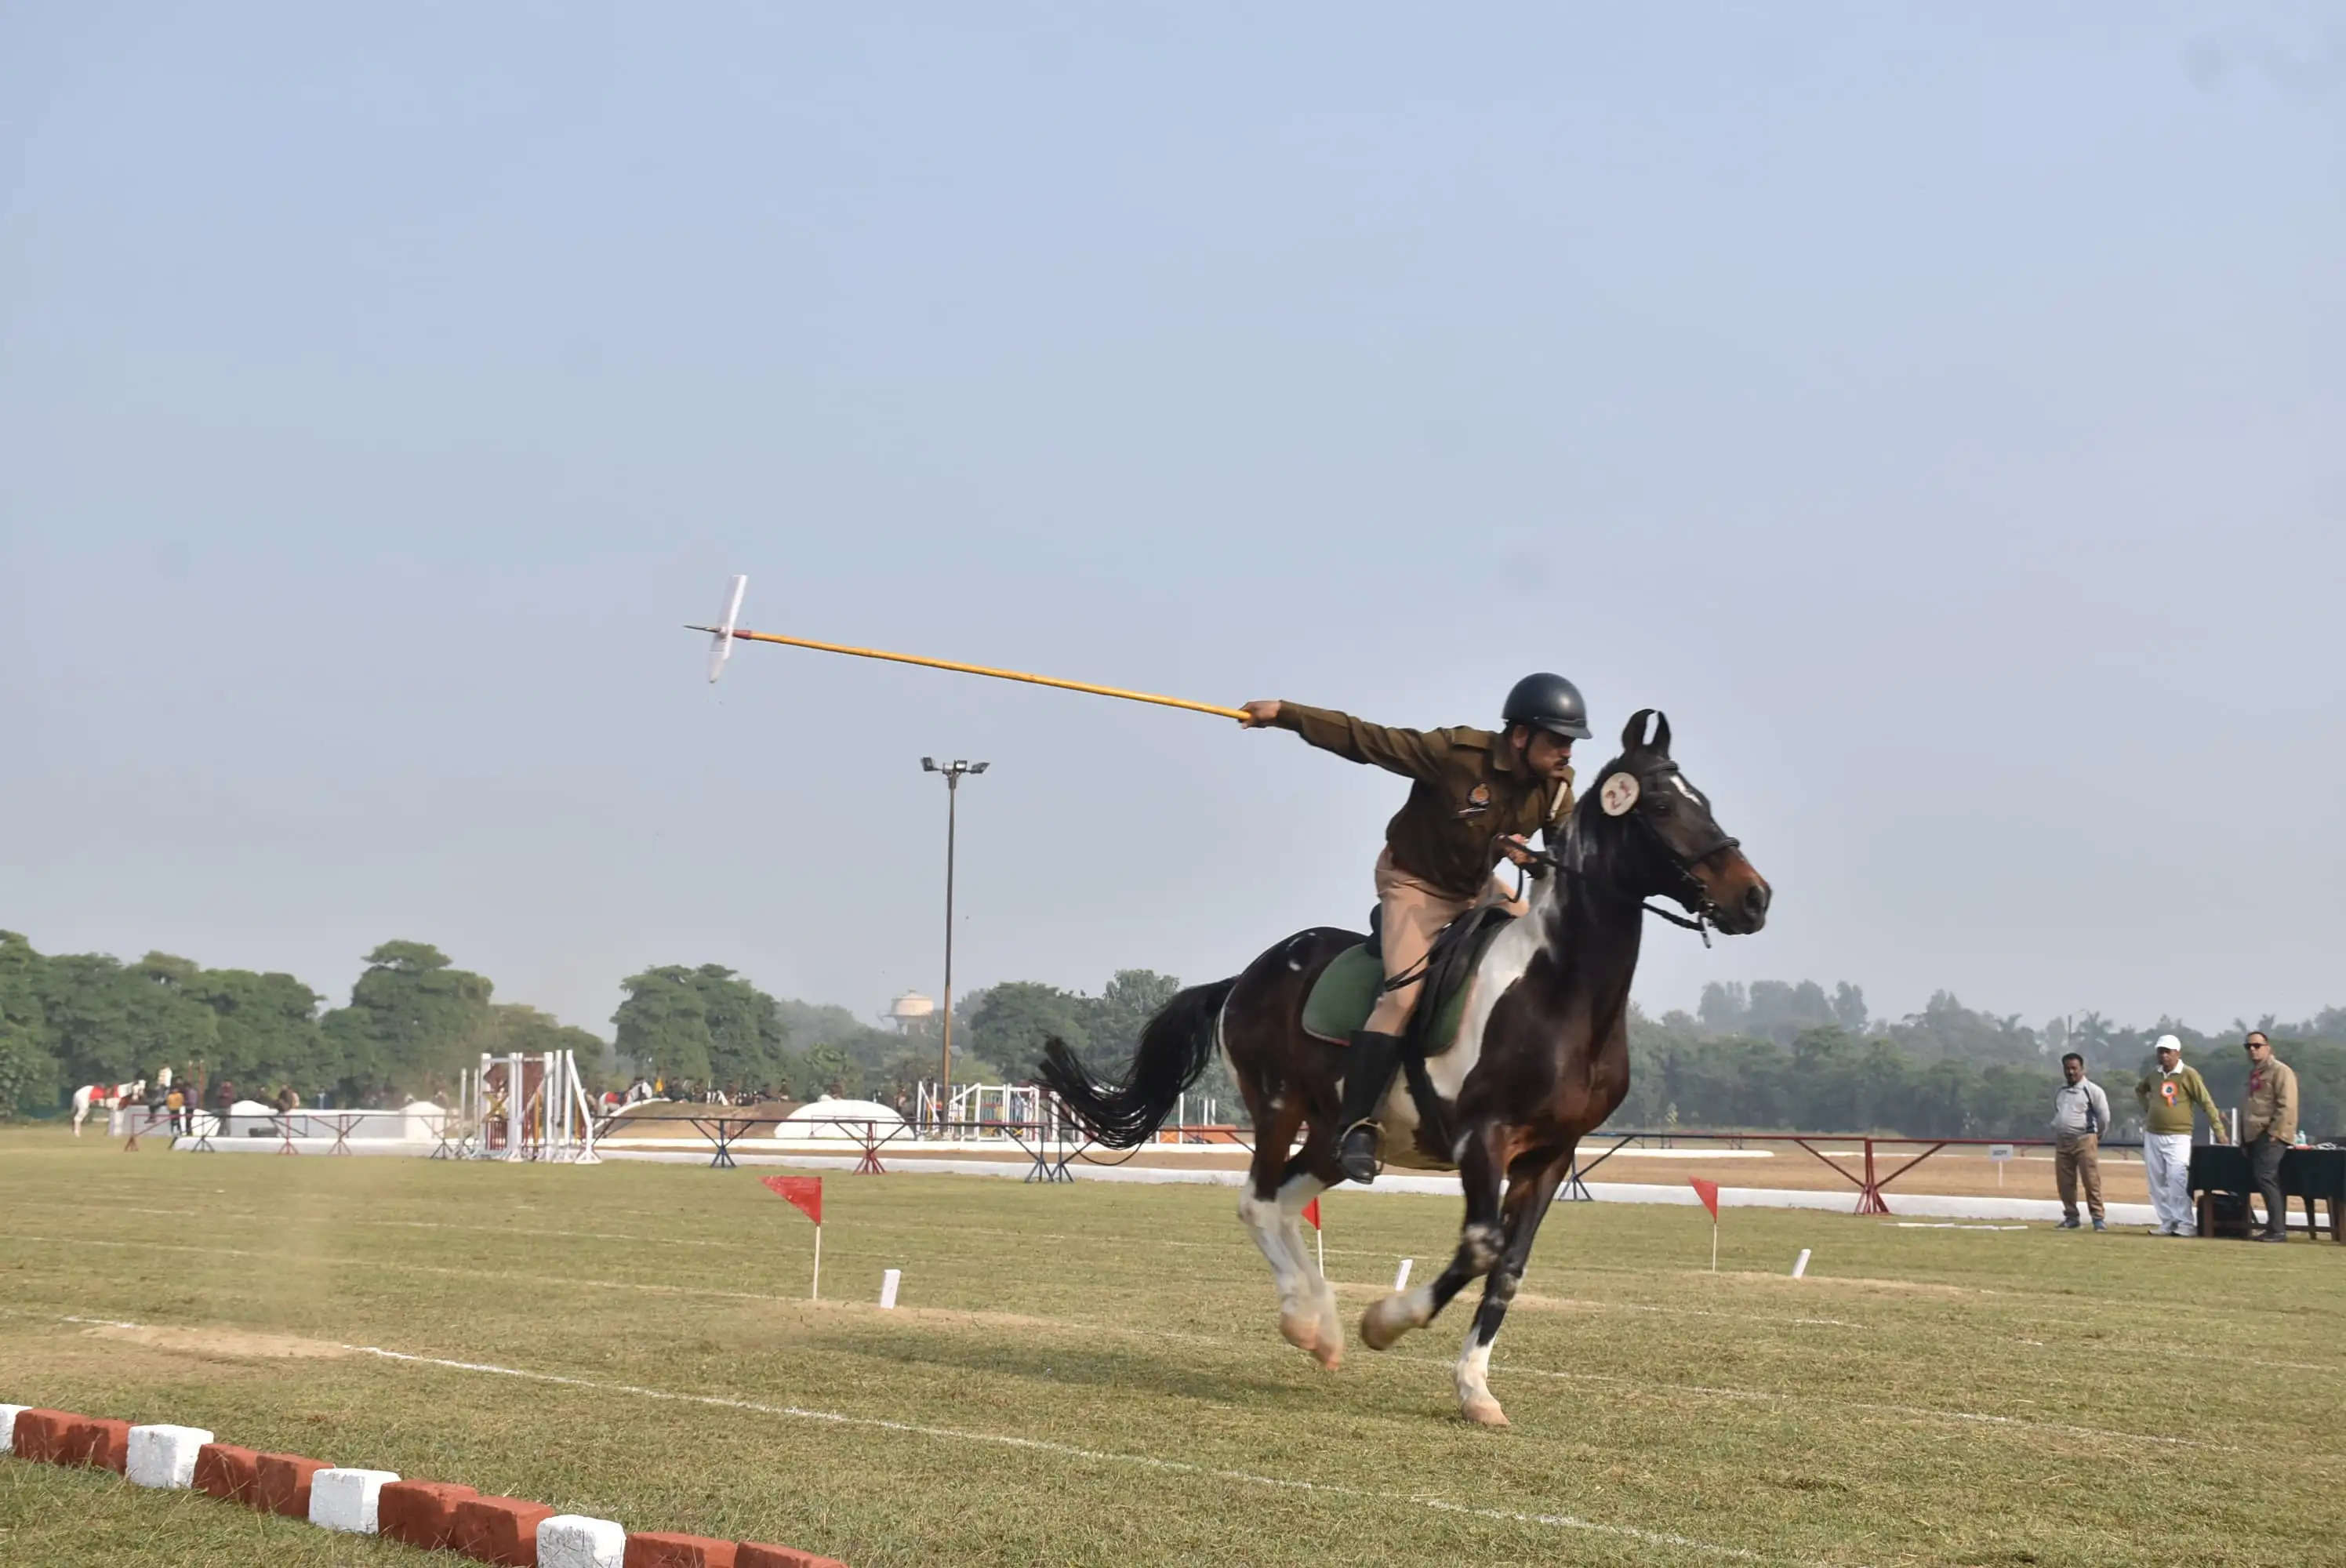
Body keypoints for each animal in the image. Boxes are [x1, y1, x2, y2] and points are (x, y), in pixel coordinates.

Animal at [1037, 718, 1763, 1427]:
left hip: (1339, 1132)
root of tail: (1246, 976)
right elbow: (1480, 1248)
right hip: (1278, 1104)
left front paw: (1475, 1389)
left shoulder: (1551, 1155)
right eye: (1662, 806)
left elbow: (1509, 1267)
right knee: (1259, 1200)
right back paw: (1308, 1320)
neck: (1562, 992)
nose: (1755, 898)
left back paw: (1321, 1325)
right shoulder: (1483, 1140)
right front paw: (1386, 1324)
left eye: (1702, 799)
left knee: (1289, 1200)